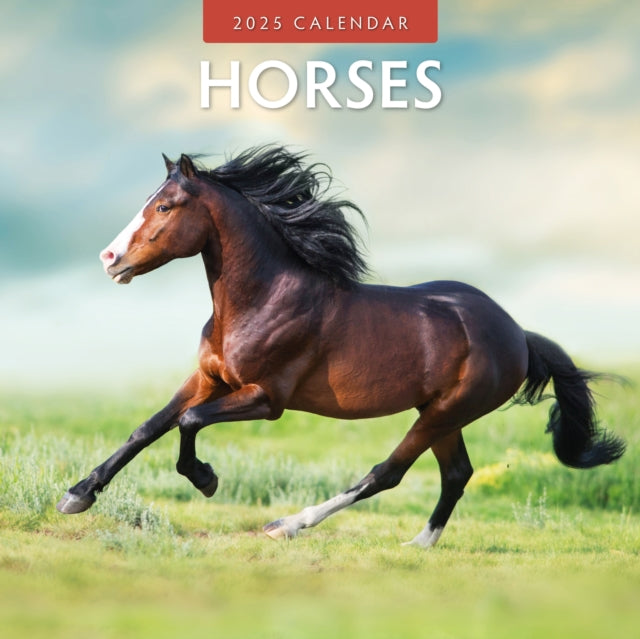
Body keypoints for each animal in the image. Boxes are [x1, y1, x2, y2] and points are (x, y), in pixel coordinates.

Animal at [56, 146, 625, 547]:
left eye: (165, 206)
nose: (110, 259)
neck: (263, 298)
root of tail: (518, 335)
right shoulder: (209, 377)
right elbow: (149, 427)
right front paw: (77, 495)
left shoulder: (267, 399)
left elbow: (189, 423)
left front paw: (206, 480)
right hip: (442, 414)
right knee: (456, 474)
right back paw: (419, 545)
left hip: (444, 412)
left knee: (388, 474)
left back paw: (287, 525)